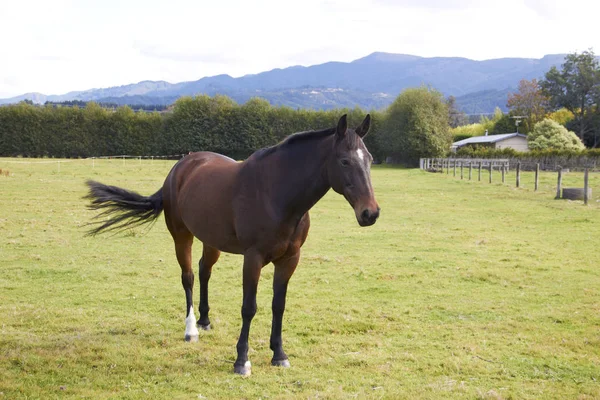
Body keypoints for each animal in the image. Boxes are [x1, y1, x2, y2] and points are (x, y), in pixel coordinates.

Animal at [84, 113, 380, 376]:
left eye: (370, 160)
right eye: (344, 161)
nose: (370, 213)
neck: (277, 194)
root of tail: (181, 167)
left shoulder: (289, 259)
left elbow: (278, 305)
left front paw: (279, 355)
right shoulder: (253, 258)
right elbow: (249, 308)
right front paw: (242, 361)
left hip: (211, 240)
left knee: (204, 271)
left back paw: (204, 321)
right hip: (182, 236)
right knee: (188, 277)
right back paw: (191, 330)